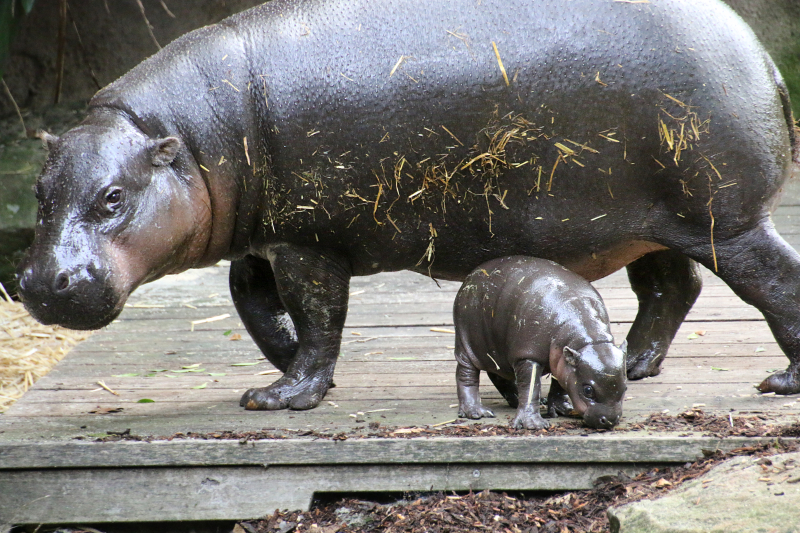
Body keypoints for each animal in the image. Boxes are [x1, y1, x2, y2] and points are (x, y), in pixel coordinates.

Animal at [454, 256, 626, 429]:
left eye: (625, 387)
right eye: (588, 390)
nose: (609, 420)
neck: (587, 340)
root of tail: (471, 275)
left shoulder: (562, 359)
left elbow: (559, 383)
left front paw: (563, 409)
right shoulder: (528, 355)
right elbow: (530, 388)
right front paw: (534, 424)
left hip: (498, 351)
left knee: (499, 375)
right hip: (466, 342)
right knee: (466, 374)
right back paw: (476, 412)